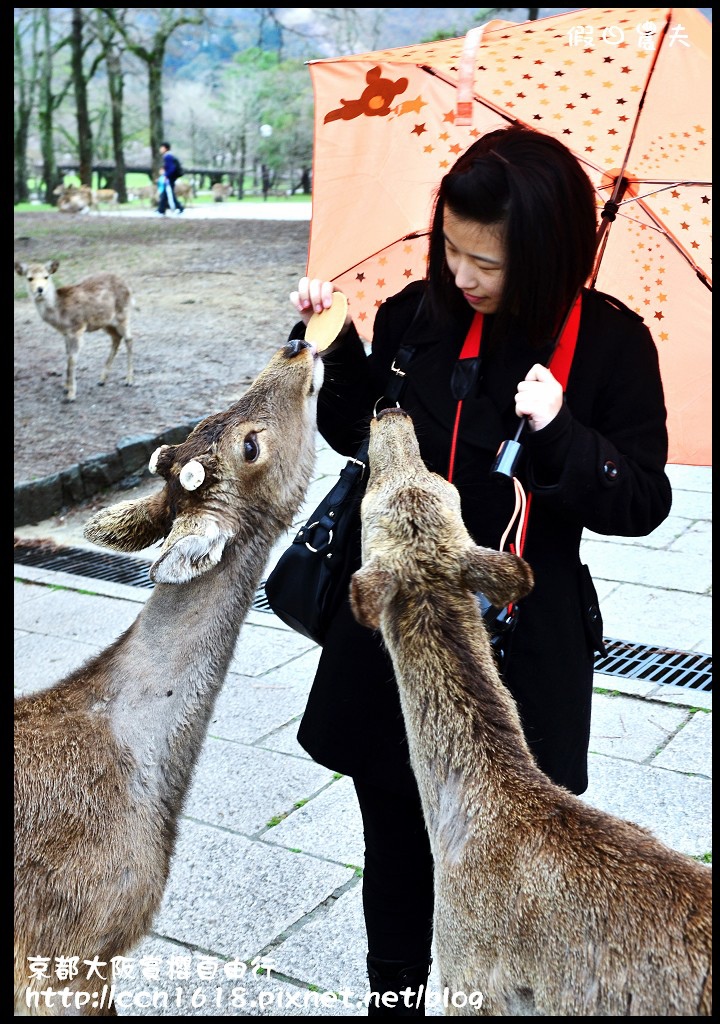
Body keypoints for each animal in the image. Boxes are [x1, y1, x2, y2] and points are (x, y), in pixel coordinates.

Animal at [14, 260, 135, 403]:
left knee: (129, 339)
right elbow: (67, 357)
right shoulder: (66, 333)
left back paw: (129, 380)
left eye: (46, 276)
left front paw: (70, 395)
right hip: (106, 321)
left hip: (123, 313)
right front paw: (65, 388)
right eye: (29, 278)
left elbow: (72, 359)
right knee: (116, 338)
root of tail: (128, 286)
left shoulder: (77, 328)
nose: (40, 289)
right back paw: (102, 380)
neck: (59, 314)